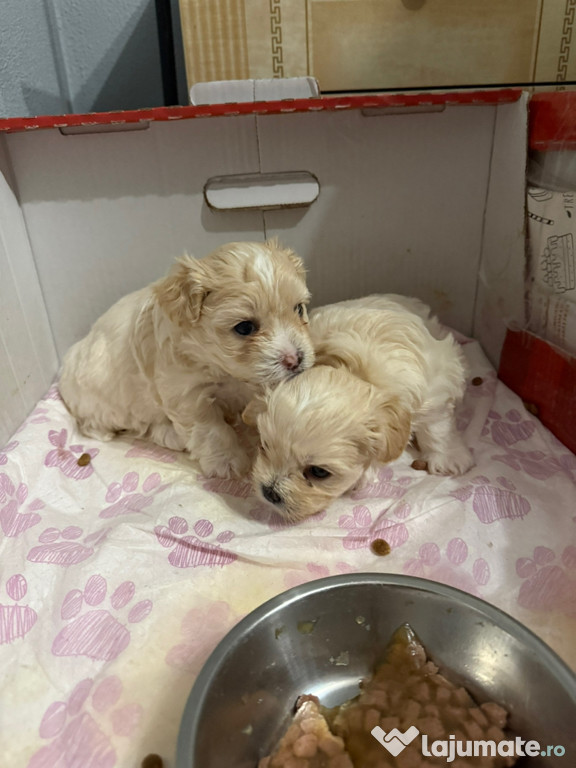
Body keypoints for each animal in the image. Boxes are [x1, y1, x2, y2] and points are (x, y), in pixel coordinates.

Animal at [58, 240, 314, 478]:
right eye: (244, 327)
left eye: (299, 309)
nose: (295, 359)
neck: (223, 369)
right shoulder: (186, 394)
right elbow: (210, 430)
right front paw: (227, 463)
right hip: (112, 403)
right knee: (124, 426)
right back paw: (171, 436)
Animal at [244, 295, 474, 521]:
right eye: (264, 446)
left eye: (319, 472)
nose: (269, 492)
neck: (354, 369)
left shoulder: (434, 390)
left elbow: (436, 427)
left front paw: (448, 459)